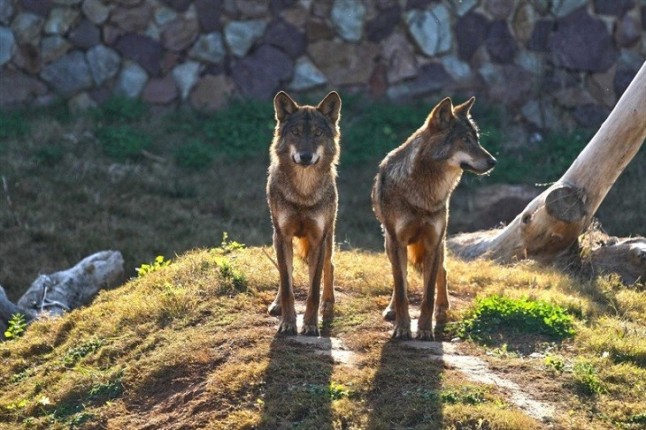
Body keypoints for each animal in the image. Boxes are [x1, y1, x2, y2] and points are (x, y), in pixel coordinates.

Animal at [266, 91, 342, 336]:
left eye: (317, 133)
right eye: (296, 132)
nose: (306, 156)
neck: (303, 193)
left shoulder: (318, 239)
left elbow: (313, 289)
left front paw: (310, 324)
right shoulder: (283, 236)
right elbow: (287, 285)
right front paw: (288, 323)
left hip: (328, 239)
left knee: (329, 266)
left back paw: (328, 302)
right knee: (286, 274)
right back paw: (277, 304)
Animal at [371, 97, 496, 340]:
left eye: (476, 139)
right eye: (465, 140)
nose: (493, 161)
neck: (424, 196)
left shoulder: (433, 243)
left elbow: (428, 294)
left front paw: (425, 329)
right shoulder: (397, 242)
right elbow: (402, 289)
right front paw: (402, 328)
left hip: (440, 245)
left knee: (442, 272)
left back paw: (442, 307)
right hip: (389, 246)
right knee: (401, 278)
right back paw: (391, 309)